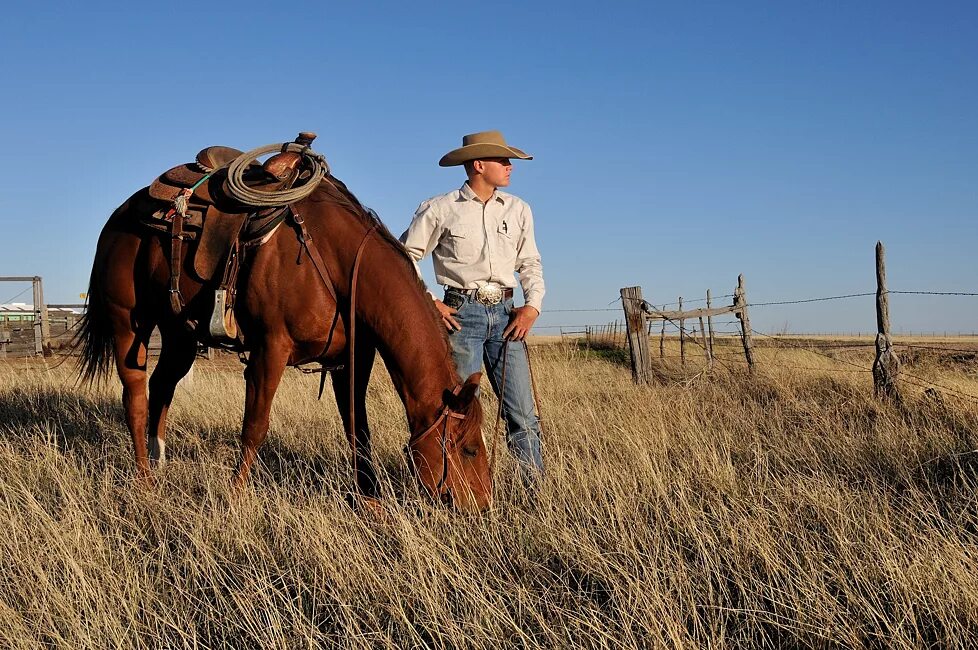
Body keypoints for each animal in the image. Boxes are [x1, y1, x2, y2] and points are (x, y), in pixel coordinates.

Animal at [75, 151, 492, 506]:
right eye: (469, 449)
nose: (482, 507)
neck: (335, 259)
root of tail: (119, 216)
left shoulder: (351, 362)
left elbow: (358, 429)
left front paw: (369, 502)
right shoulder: (269, 351)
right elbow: (255, 427)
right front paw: (235, 499)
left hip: (180, 333)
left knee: (162, 386)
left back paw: (160, 463)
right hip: (129, 324)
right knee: (135, 398)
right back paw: (145, 480)